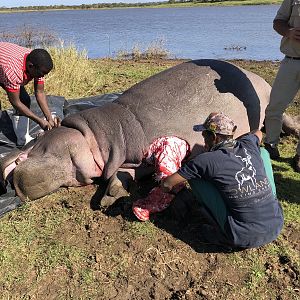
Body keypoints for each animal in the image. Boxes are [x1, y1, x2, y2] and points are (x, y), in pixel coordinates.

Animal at [0, 59, 272, 202]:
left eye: (39, 137)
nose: (18, 184)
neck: (96, 134)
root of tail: (256, 76)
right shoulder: (131, 161)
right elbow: (122, 173)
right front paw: (112, 193)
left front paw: (109, 196)